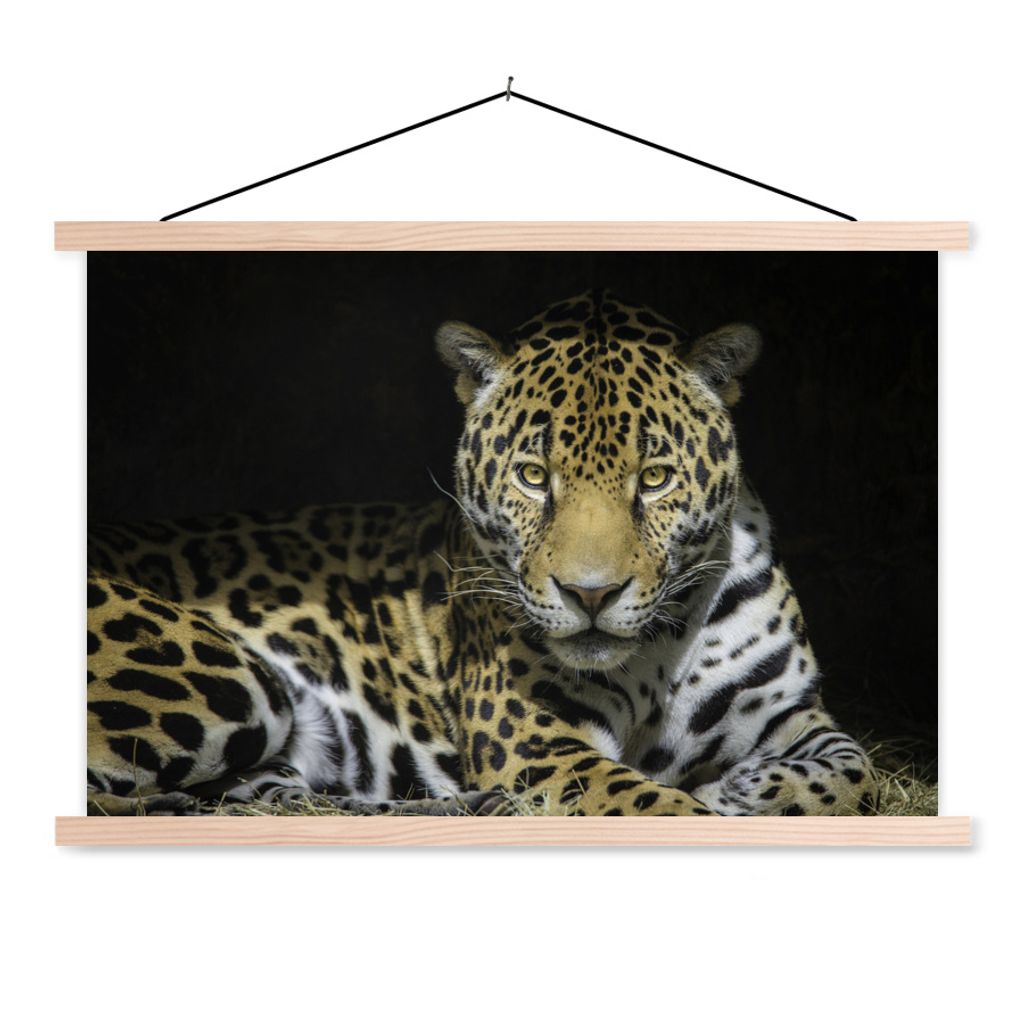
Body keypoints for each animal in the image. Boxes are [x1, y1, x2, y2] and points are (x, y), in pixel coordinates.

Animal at [87, 289, 879, 817]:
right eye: (533, 476)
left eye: (654, 480)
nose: (591, 596)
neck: (660, 649)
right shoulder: (530, 734)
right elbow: (651, 805)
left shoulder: (790, 712)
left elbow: (854, 771)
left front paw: (754, 787)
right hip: (228, 679)